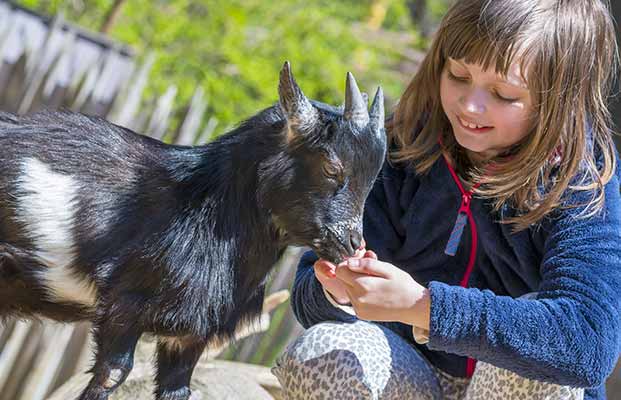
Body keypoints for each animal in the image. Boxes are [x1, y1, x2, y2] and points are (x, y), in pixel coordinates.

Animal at [0, 61, 386, 398]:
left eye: (373, 179)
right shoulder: (125, 304)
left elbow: (177, 389)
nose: (352, 245)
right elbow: (112, 374)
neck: (199, 209)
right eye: (331, 167)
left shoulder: (190, 334)